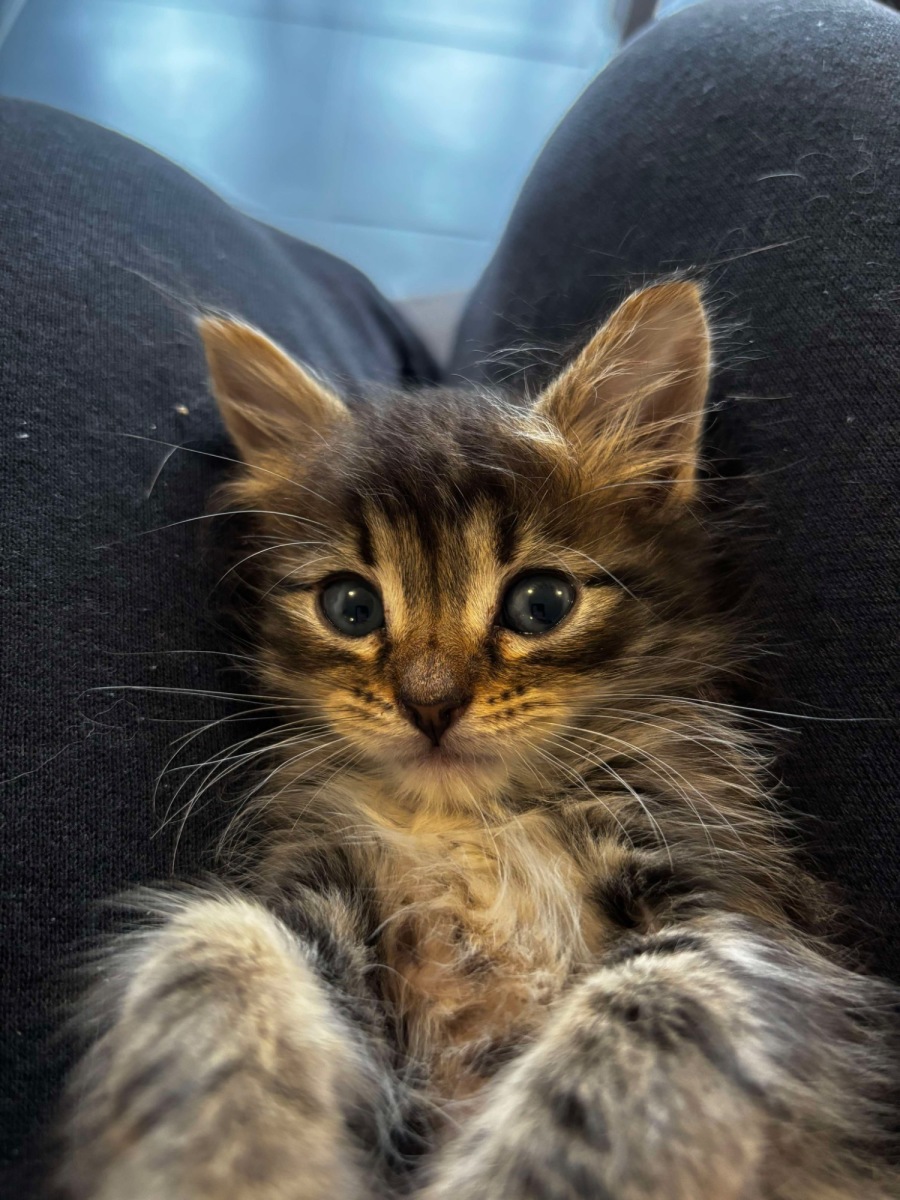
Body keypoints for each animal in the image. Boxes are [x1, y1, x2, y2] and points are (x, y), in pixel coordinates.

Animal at [56, 282, 899, 1200]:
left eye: (541, 603)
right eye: (351, 607)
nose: (431, 703)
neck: (474, 828)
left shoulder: (741, 920)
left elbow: (631, 1029)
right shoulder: (314, 888)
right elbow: (216, 941)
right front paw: (224, 1160)